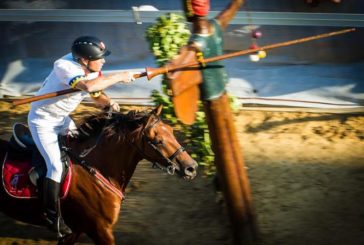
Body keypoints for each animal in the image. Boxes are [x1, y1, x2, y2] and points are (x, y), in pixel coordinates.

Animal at [0, 106, 198, 245]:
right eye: (158, 141)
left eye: (172, 131)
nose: (192, 167)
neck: (96, 169)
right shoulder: (100, 230)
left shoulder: (76, 230)